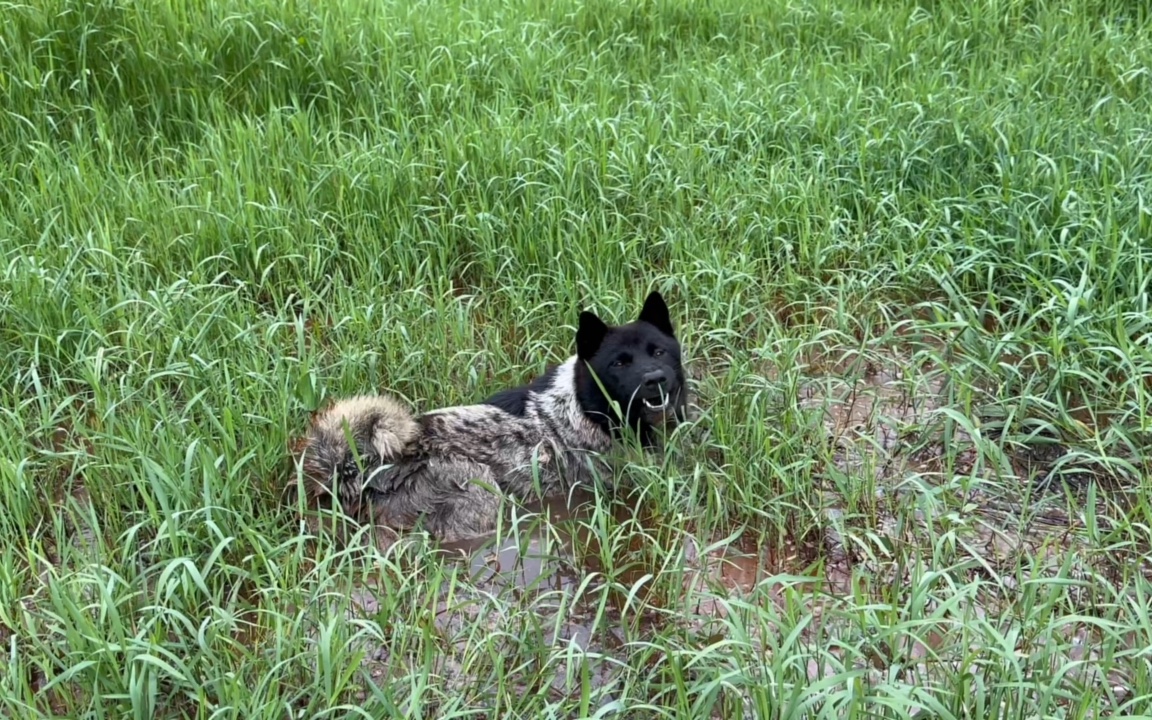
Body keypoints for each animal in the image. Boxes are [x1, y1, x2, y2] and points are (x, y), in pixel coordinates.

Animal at [292, 289, 686, 541]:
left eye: (659, 351)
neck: (584, 407)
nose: (655, 378)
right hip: (483, 500)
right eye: (620, 363)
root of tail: (375, 463)